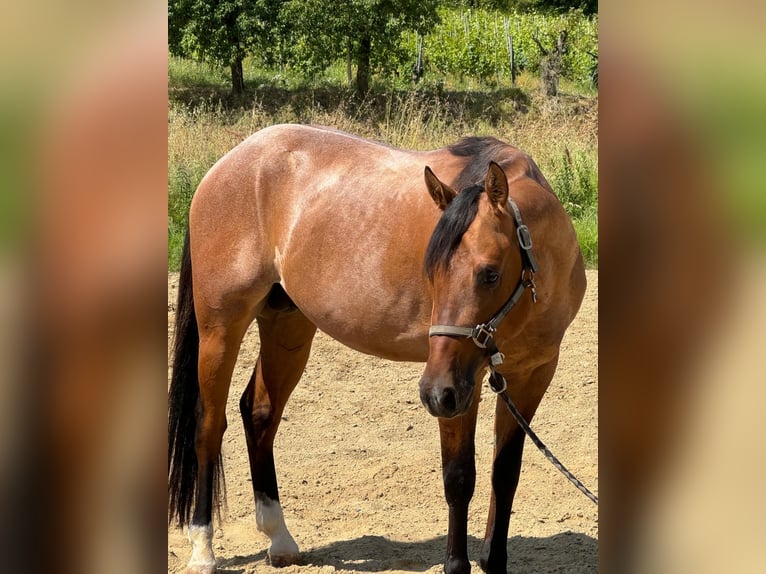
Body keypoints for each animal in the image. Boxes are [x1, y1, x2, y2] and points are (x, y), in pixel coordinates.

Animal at [168, 124, 586, 574]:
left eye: (490, 273)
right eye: (431, 273)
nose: (433, 392)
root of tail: (231, 162)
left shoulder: (530, 375)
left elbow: (504, 473)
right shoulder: (461, 386)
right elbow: (459, 477)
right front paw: (456, 564)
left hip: (288, 326)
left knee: (260, 412)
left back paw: (279, 538)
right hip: (220, 329)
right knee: (209, 427)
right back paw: (203, 549)